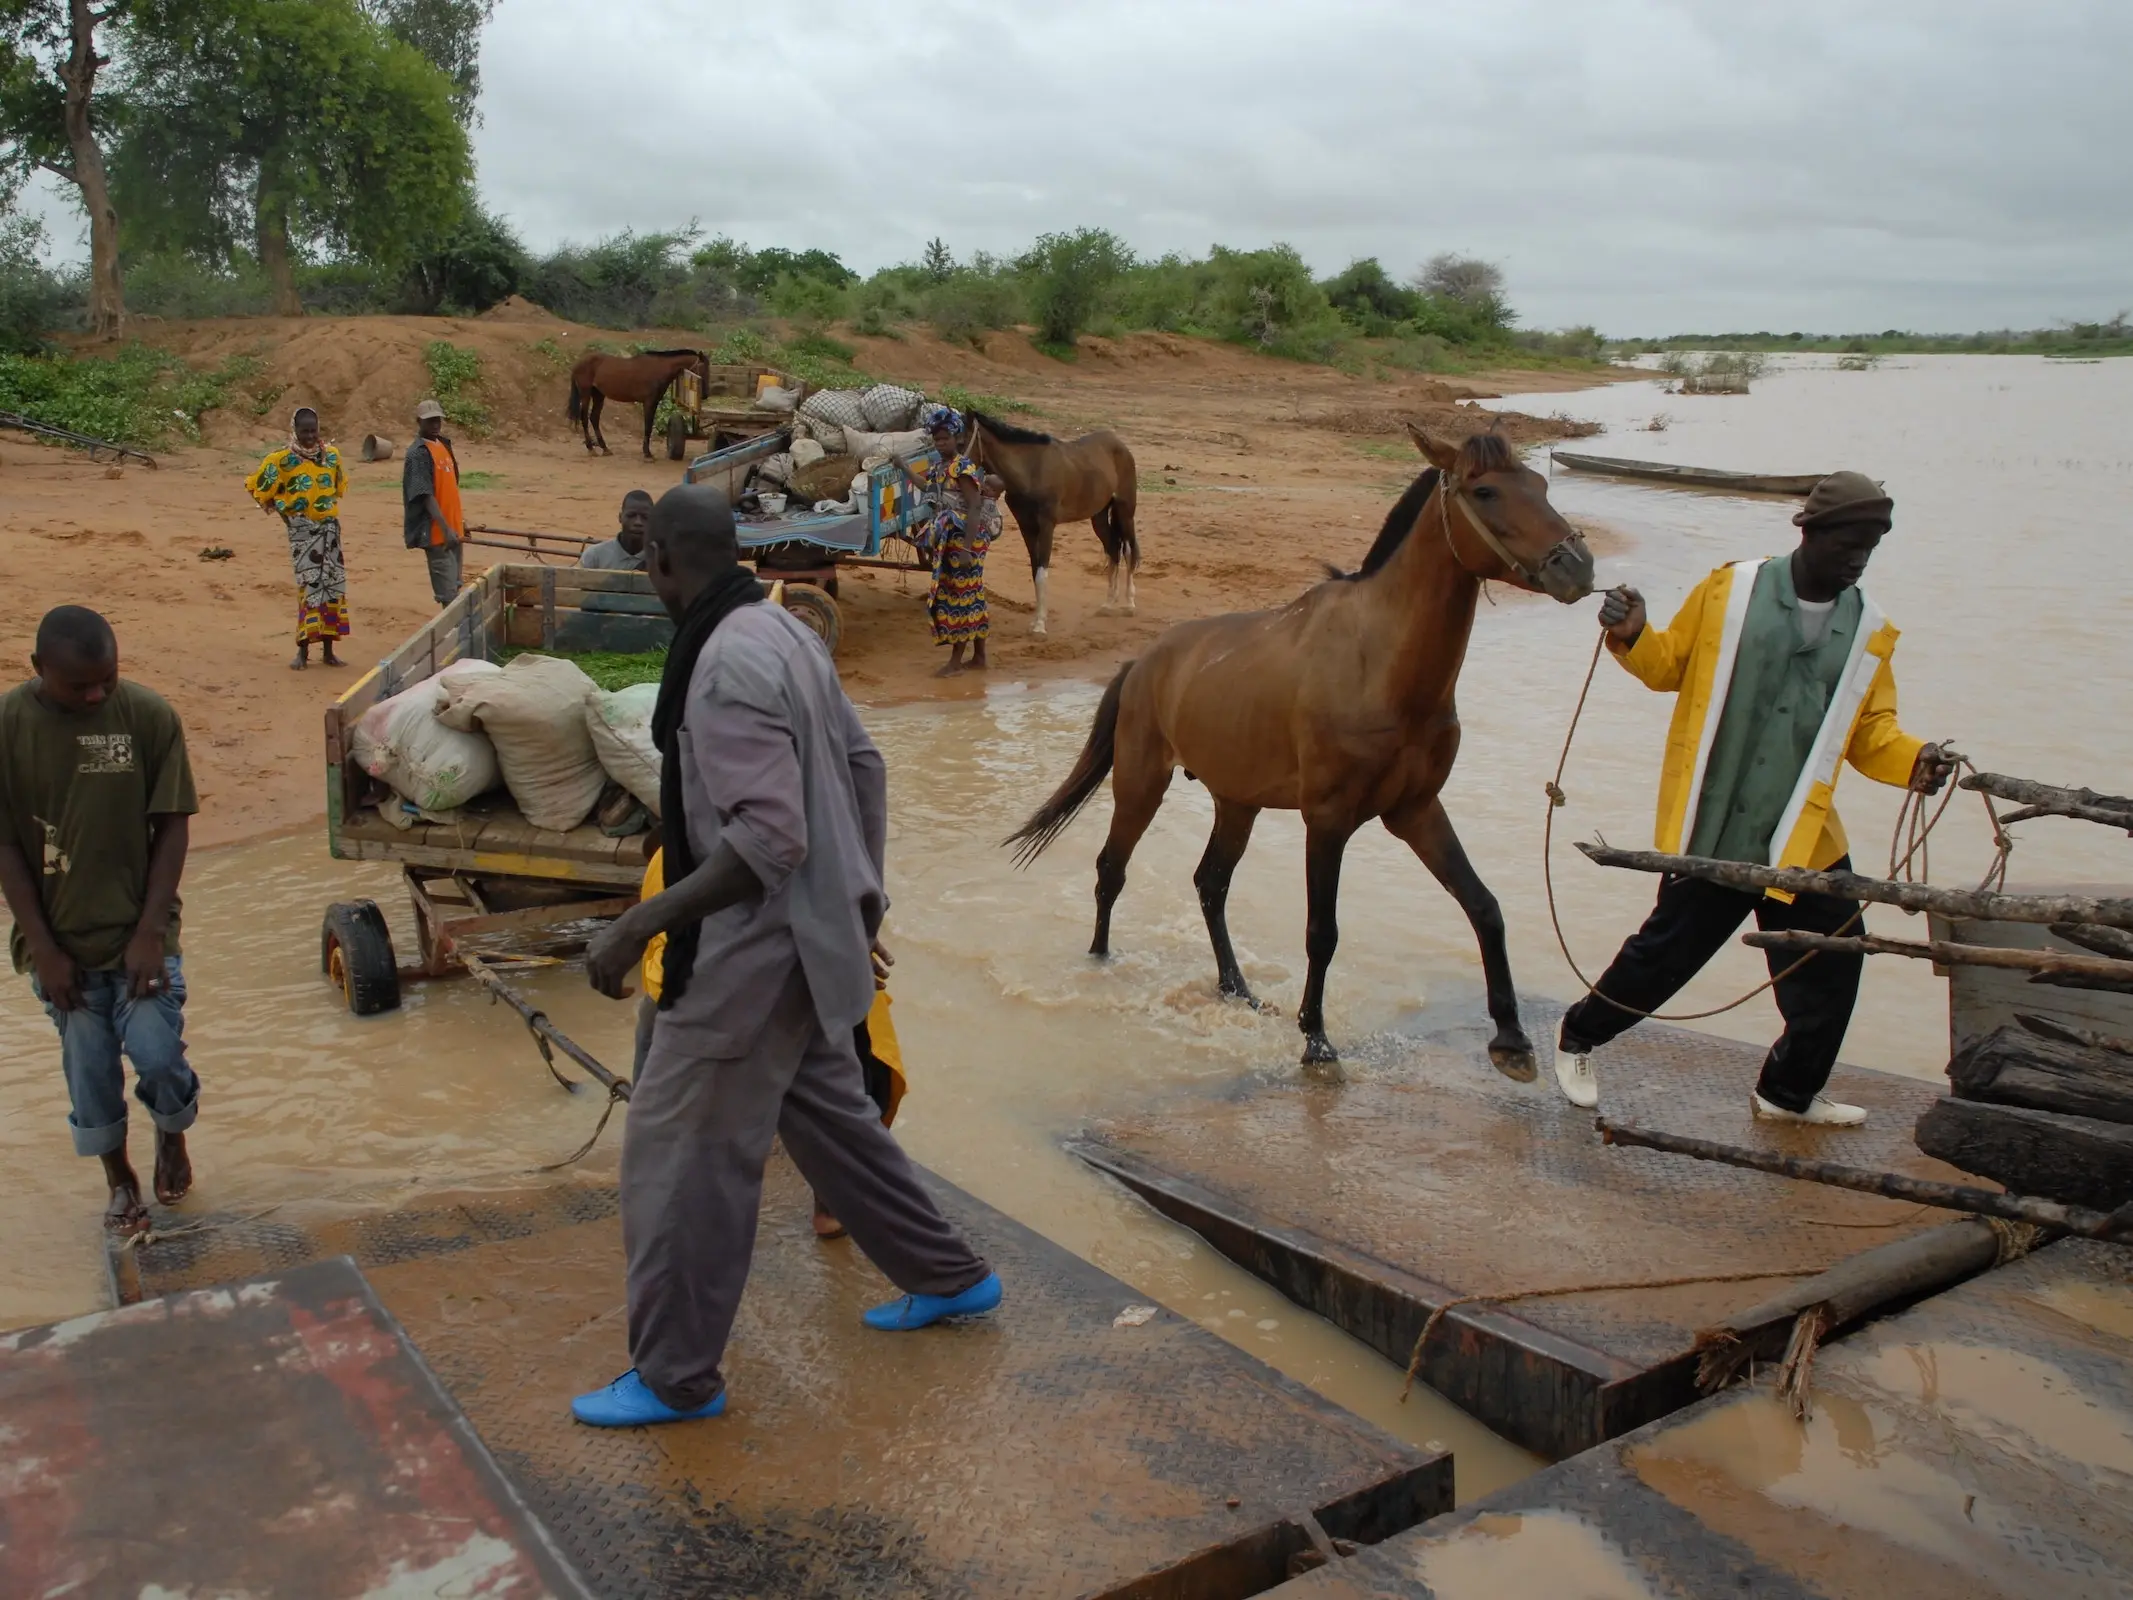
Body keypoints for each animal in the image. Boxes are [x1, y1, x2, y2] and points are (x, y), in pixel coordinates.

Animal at [567, 347, 708, 454]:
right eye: (703, 368)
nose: (705, 395)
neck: (658, 369)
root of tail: (577, 363)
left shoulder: (654, 403)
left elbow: (649, 426)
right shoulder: (649, 403)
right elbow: (648, 427)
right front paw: (647, 453)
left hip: (598, 395)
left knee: (594, 418)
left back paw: (604, 448)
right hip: (585, 394)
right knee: (584, 418)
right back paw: (590, 448)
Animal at [964, 413, 1134, 640]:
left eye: (960, 439)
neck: (1031, 472)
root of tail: (1119, 444)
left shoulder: (1046, 526)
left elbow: (1042, 574)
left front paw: (1040, 626)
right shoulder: (1026, 527)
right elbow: (1035, 571)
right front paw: (1036, 621)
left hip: (1126, 511)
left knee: (1129, 550)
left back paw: (1129, 603)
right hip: (1098, 517)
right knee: (1113, 549)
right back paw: (1109, 603)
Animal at [1006, 426, 1595, 1079]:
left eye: (1540, 484)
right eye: (1485, 491)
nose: (1577, 567)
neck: (1381, 665)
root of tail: (1141, 662)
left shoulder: (1416, 810)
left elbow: (1483, 906)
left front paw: (1511, 1038)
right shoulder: (1328, 819)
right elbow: (1322, 932)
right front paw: (1315, 1040)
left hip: (1236, 803)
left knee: (1210, 885)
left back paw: (1237, 988)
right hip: (1140, 784)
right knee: (1112, 870)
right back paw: (1100, 961)